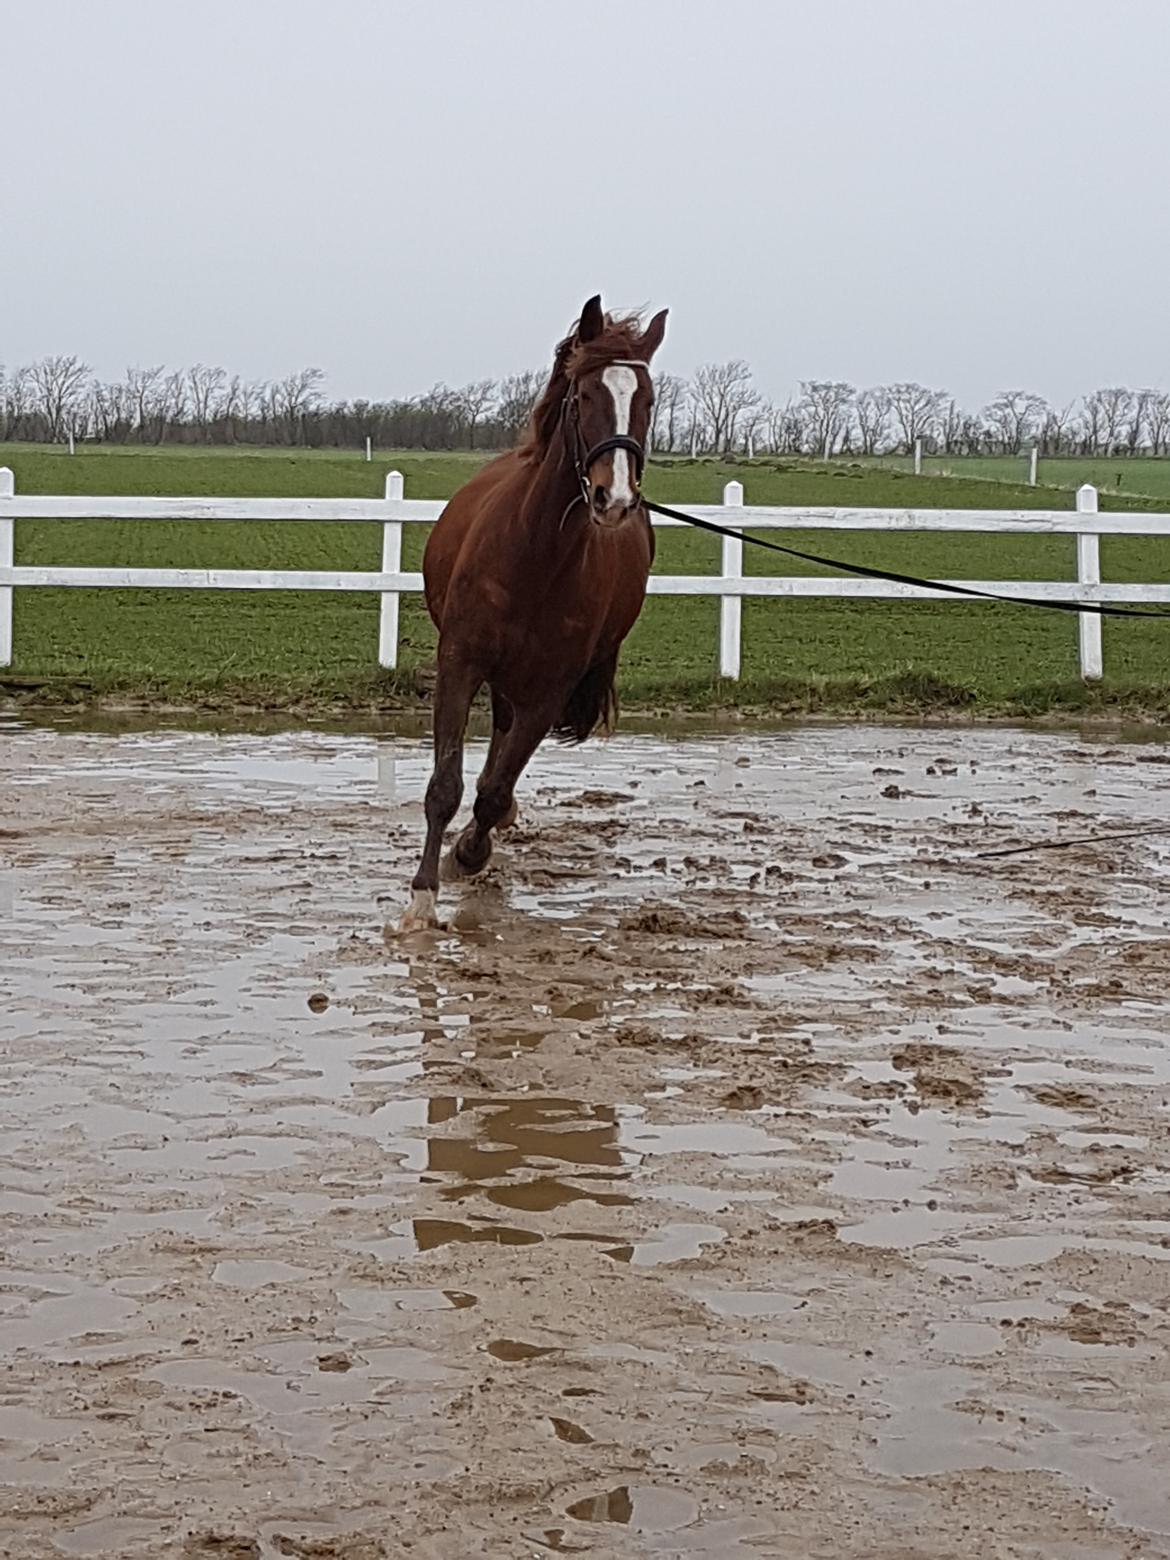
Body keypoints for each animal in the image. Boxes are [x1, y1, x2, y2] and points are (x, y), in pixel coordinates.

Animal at [399, 291, 667, 923]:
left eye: (646, 399)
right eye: (586, 395)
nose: (615, 498)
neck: (535, 553)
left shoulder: (548, 691)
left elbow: (493, 791)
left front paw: (469, 853)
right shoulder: (460, 662)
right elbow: (444, 786)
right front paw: (422, 898)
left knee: (502, 751)